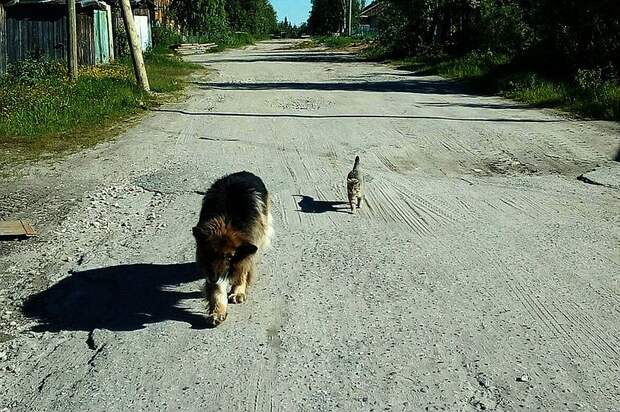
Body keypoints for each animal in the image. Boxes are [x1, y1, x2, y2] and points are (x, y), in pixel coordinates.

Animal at [193, 171, 272, 326]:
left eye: (229, 257)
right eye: (211, 254)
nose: (213, 278)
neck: (227, 220)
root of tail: (244, 172)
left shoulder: (248, 246)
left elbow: (242, 270)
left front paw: (238, 291)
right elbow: (217, 289)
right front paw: (217, 311)